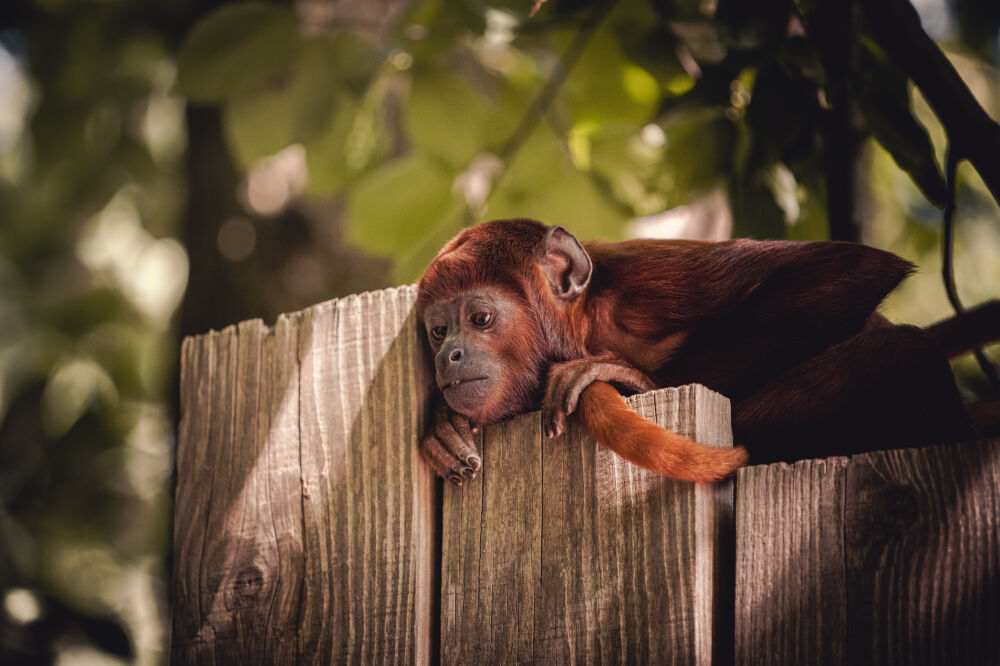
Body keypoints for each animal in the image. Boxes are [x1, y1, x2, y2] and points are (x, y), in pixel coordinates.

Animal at [416, 218, 992, 482]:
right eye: (439, 331)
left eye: (481, 318)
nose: (449, 358)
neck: (585, 326)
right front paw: (443, 427)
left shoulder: (649, 281)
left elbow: (852, 267)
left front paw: (625, 376)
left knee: (901, 353)